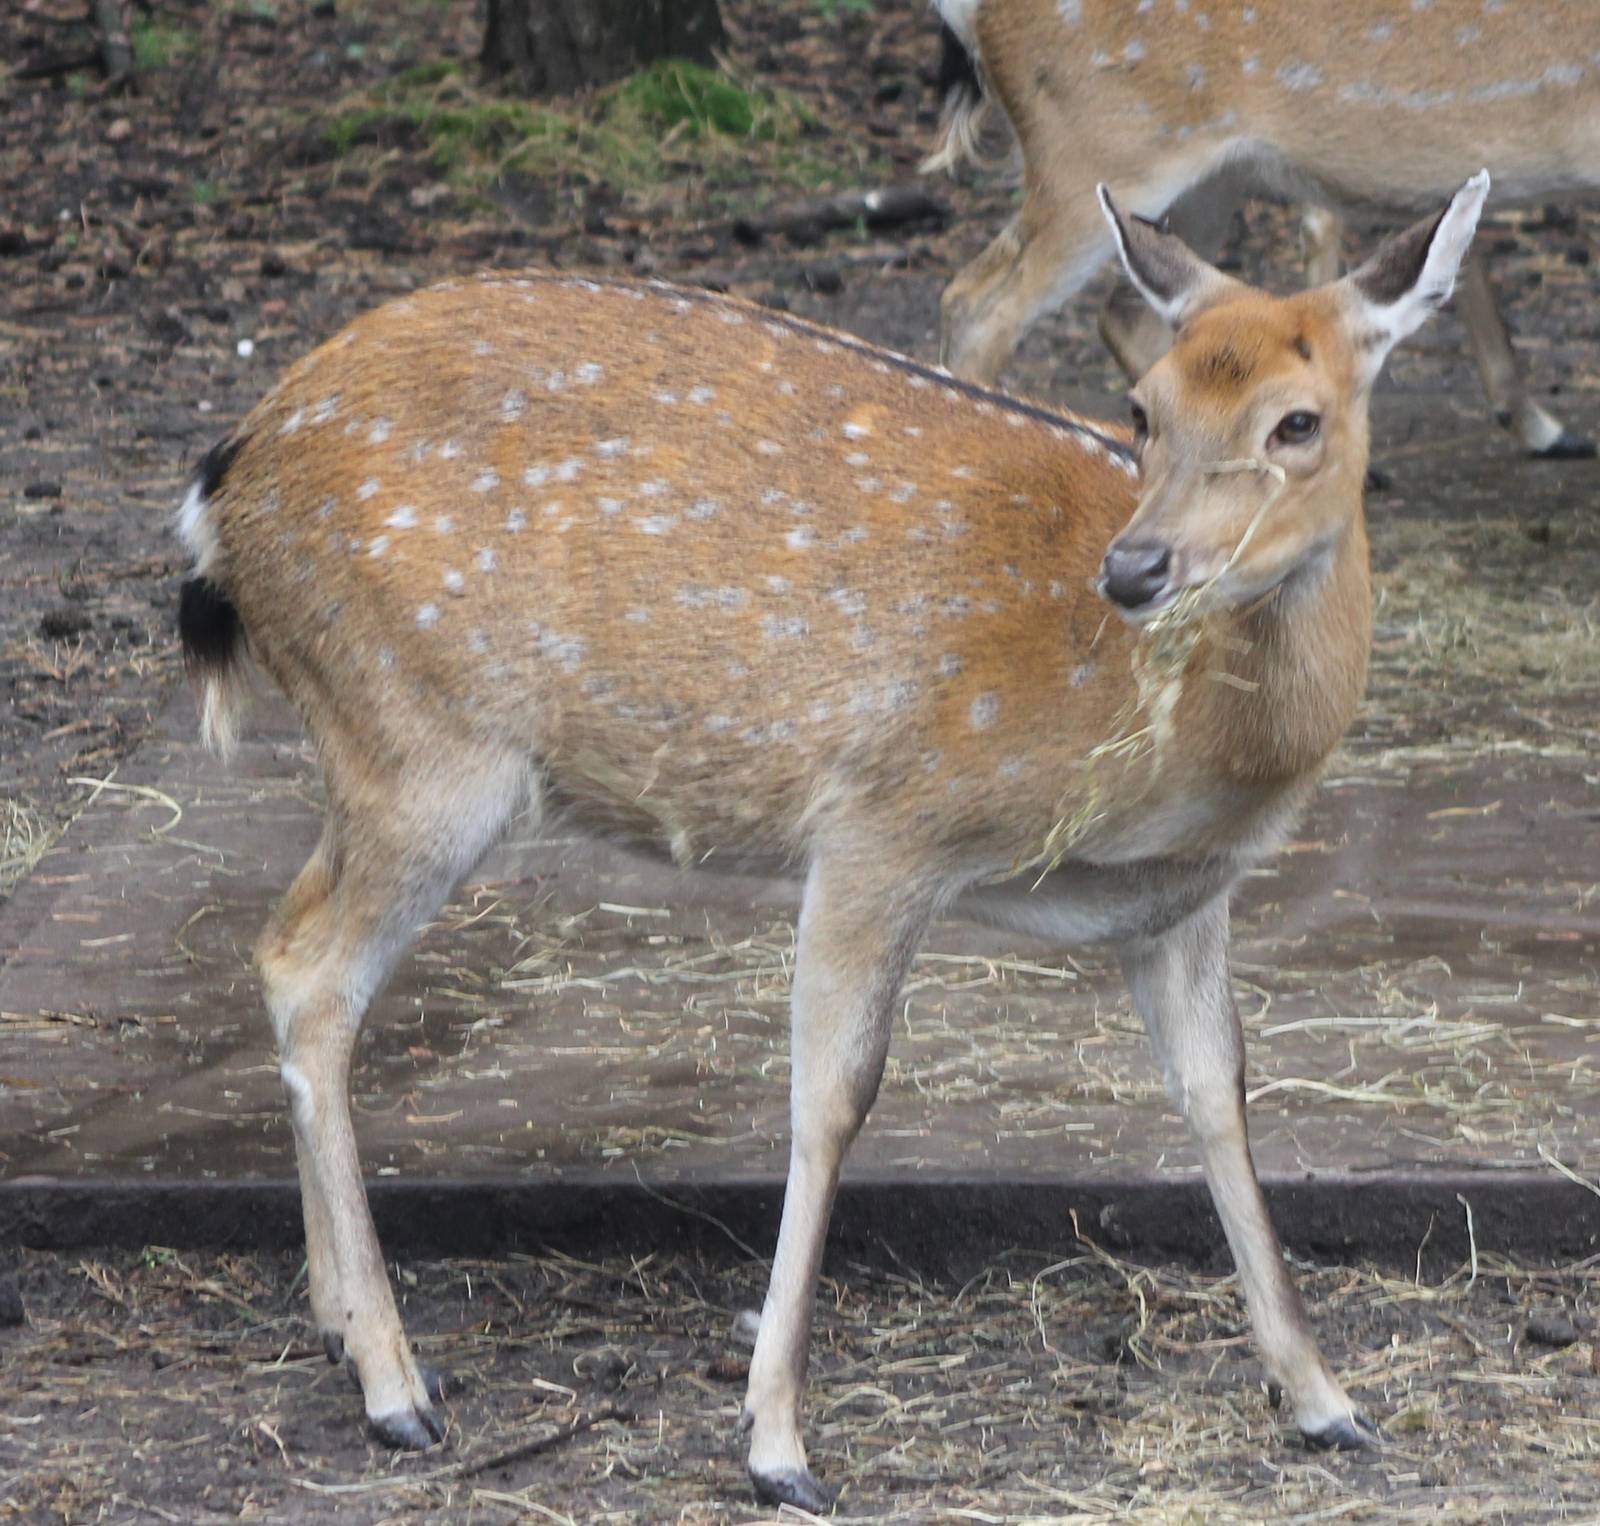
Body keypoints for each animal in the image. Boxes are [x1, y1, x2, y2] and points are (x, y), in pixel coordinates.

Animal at [173, 172, 1488, 1511]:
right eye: (1143, 407)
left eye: (1297, 422)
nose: (1135, 567)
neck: (1178, 747)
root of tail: (222, 485)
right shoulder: (882, 818)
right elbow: (832, 1095)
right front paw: (775, 1443)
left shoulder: (1178, 894)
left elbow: (1217, 1089)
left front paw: (1325, 1400)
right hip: (423, 741)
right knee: (315, 976)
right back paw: (395, 1384)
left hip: (376, 748)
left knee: (284, 948)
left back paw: (341, 1326)